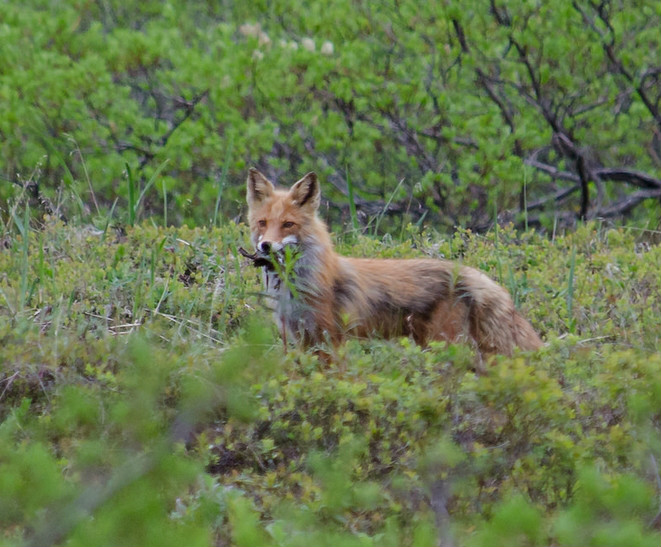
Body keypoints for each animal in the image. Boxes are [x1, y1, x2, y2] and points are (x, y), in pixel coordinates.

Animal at [244, 169, 540, 358]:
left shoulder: (330, 340)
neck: (297, 287)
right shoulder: (302, 340)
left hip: (444, 347)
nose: (265, 246)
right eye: (262, 223)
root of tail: (470, 274)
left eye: (288, 224)